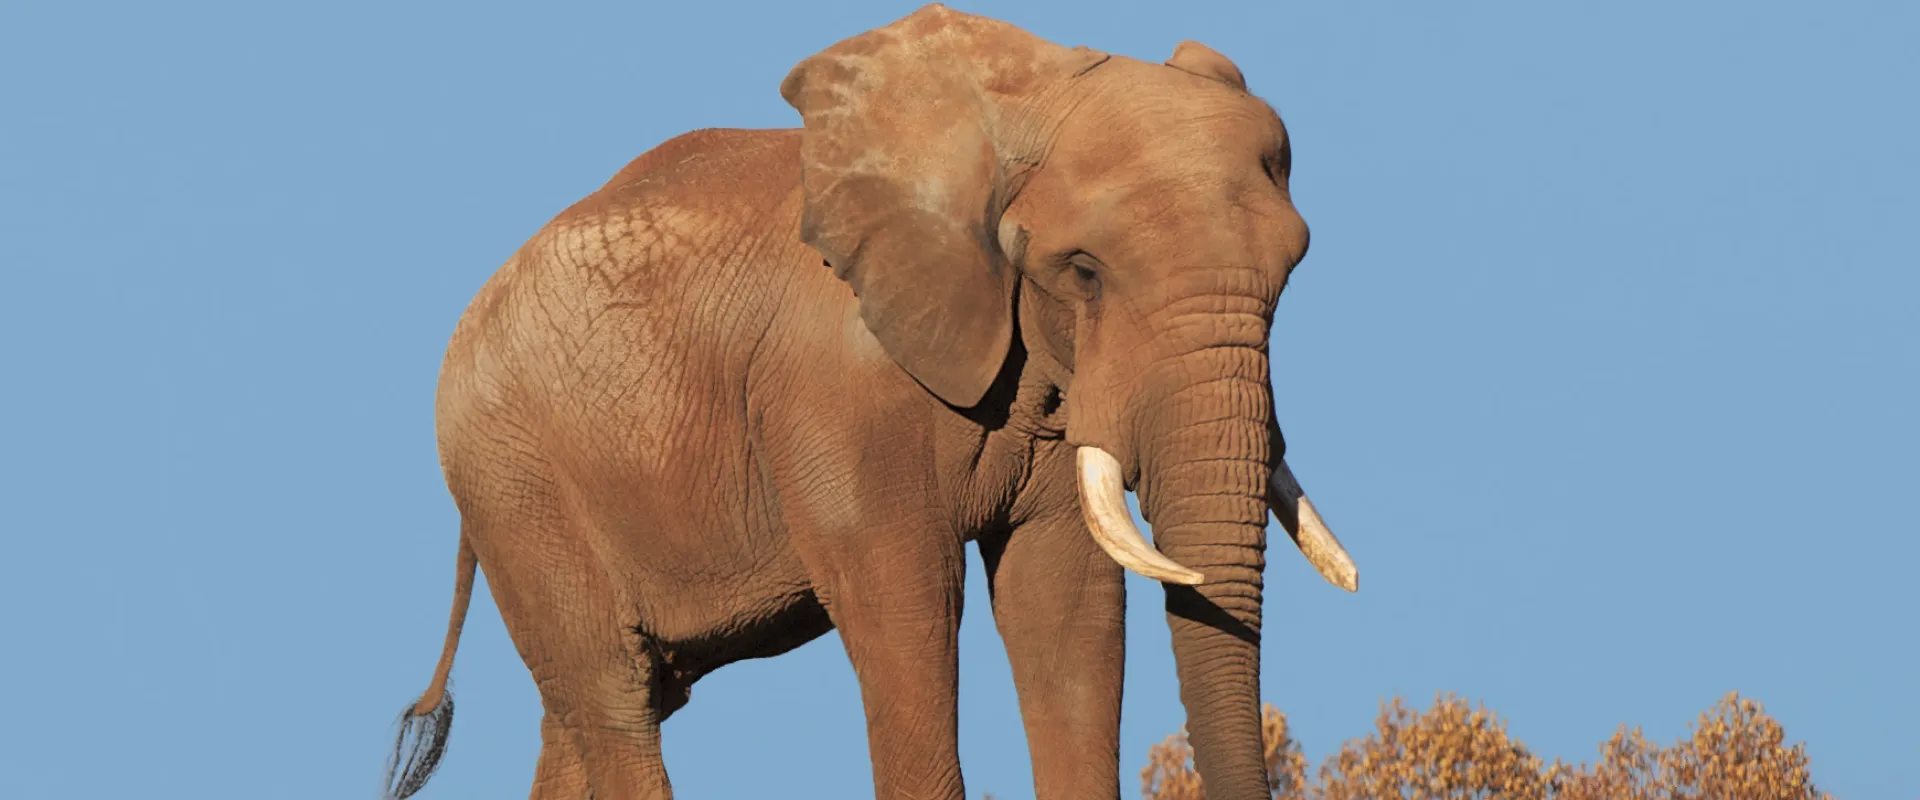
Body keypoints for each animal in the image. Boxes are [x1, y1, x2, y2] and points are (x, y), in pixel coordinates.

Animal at [384, 5, 1358, 800]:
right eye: (1084, 272)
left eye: (1291, 269)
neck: (1015, 97)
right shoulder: (835, 393)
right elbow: (904, 604)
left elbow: (1065, 602)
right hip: (514, 482)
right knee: (614, 698)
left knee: (600, 710)